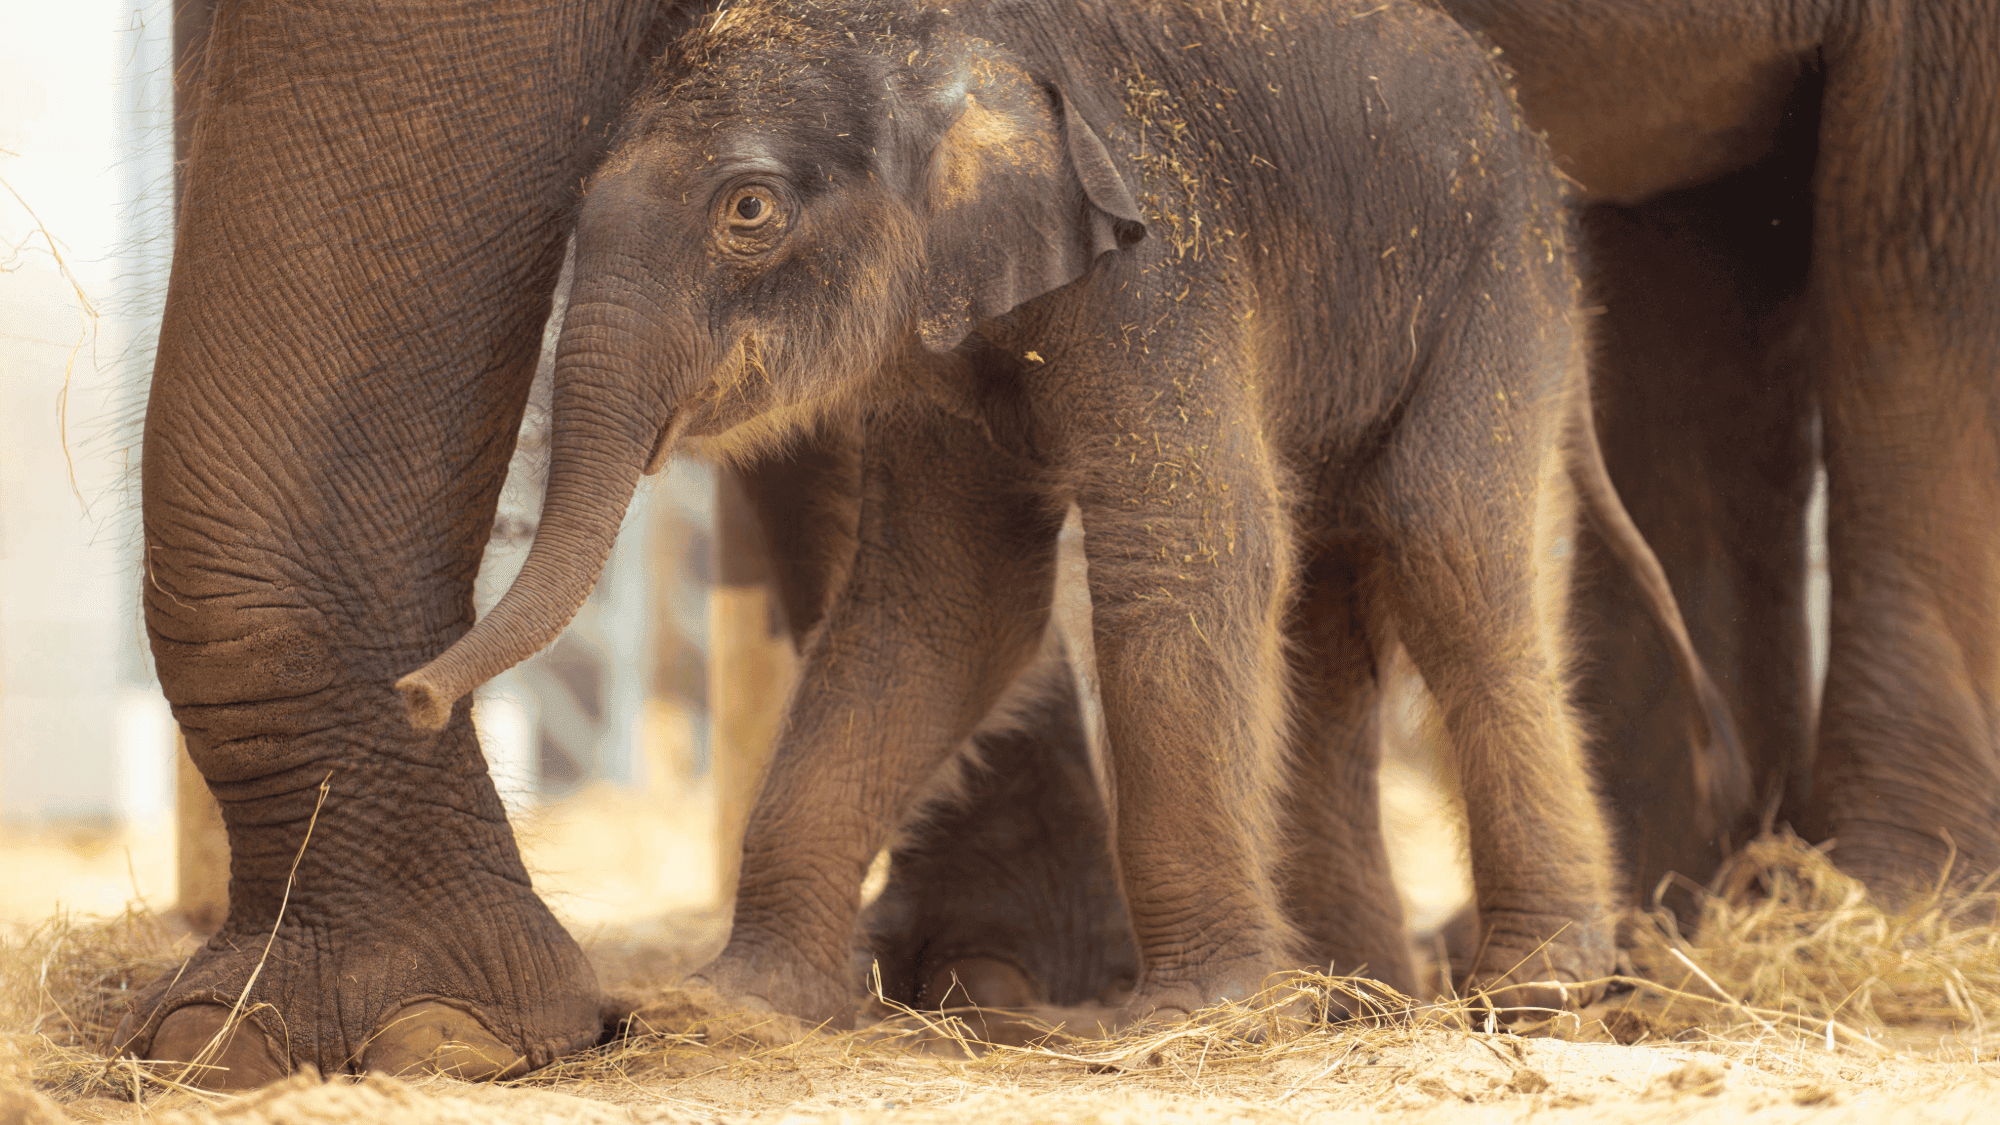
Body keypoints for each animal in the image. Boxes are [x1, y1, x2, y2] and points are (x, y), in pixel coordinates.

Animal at [392, 0, 1644, 1035]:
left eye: (748, 209)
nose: (413, 696)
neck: (944, 34)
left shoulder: (1160, 264)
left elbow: (1185, 554)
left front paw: (1198, 1017)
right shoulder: (937, 353)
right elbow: (943, 606)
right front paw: (736, 1009)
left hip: (1500, 289)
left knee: (1449, 558)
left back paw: (1532, 991)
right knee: (1329, 623)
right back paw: (1356, 1001)